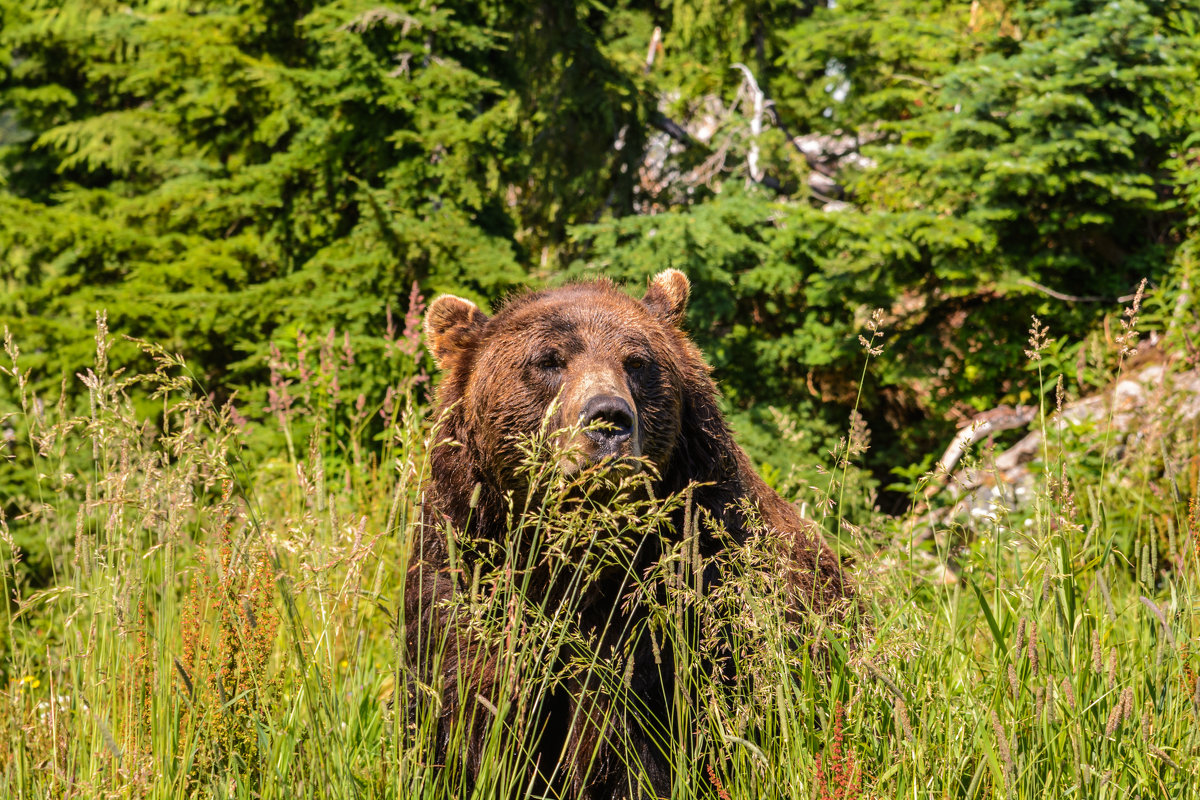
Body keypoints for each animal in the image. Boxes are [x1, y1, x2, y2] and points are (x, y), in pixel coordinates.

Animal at [410, 271, 854, 800]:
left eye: (637, 362)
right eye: (548, 360)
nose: (608, 419)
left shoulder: (677, 592)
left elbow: (631, 734)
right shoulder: (469, 573)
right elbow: (471, 705)